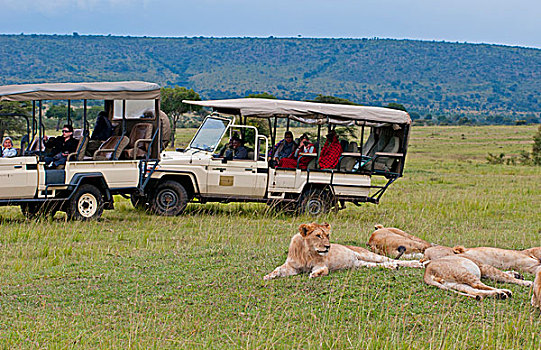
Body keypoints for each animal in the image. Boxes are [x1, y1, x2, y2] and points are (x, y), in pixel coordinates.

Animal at [264, 223, 424, 280]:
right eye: (318, 235)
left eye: (327, 235)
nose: (328, 247)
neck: (307, 252)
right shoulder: (291, 267)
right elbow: (278, 269)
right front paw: (268, 276)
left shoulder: (322, 265)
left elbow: (323, 270)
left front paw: (314, 274)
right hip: (362, 263)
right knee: (381, 264)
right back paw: (392, 267)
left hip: (368, 254)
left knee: (395, 260)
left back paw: (418, 263)